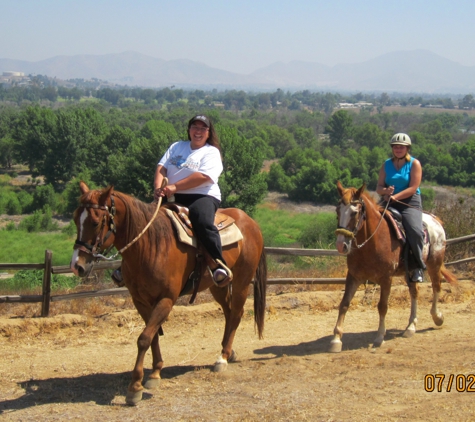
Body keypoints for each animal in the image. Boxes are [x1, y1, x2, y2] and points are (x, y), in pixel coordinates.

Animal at [69, 181, 268, 406]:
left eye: (95, 222)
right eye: (75, 219)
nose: (77, 266)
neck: (150, 245)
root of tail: (251, 222)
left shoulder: (166, 299)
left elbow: (144, 338)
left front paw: (135, 387)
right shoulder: (140, 301)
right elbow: (153, 336)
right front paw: (155, 373)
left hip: (242, 281)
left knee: (235, 314)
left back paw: (222, 358)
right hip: (218, 285)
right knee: (228, 312)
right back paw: (229, 351)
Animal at [330, 181, 458, 352]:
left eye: (354, 212)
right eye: (338, 210)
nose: (341, 245)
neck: (372, 242)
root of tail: (434, 219)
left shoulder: (386, 278)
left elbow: (382, 306)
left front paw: (379, 337)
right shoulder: (354, 276)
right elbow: (344, 304)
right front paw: (336, 339)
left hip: (434, 264)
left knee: (436, 287)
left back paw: (437, 317)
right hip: (410, 271)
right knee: (414, 293)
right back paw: (411, 327)